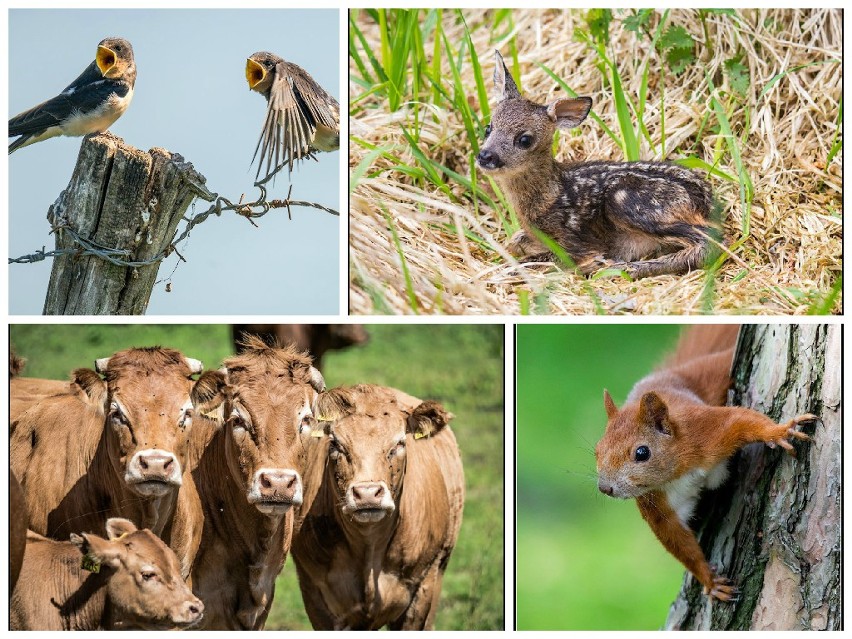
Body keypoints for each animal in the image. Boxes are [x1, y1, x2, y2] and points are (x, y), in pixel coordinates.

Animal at [596, 328, 816, 604]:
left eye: (642, 453)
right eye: (597, 451)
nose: (605, 488)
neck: (679, 472)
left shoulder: (704, 432)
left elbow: (740, 419)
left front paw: (777, 431)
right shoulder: (657, 503)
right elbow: (676, 540)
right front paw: (710, 581)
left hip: (711, 372)